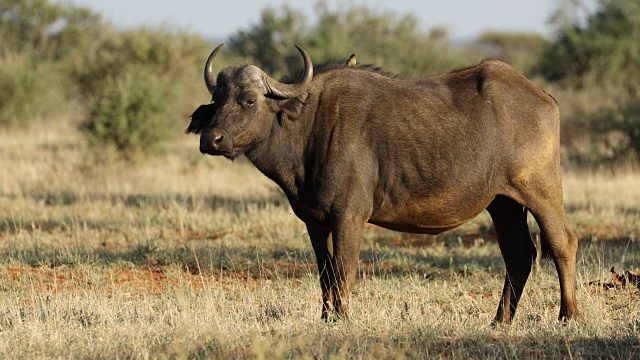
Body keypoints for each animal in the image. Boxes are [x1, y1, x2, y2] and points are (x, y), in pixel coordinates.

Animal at [190, 44, 580, 324]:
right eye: (216, 99)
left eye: (248, 100)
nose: (212, 139)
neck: (308, 125)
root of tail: (543, 97)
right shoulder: (315, 223)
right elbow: (325, 273)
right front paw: (327, 318)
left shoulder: (348, 216)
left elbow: (343, 269)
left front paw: (342, 318)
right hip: (503, 203)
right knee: (519, 254)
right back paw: (500, 321)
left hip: (541, 191)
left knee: (563, 243)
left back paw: (568, 315)